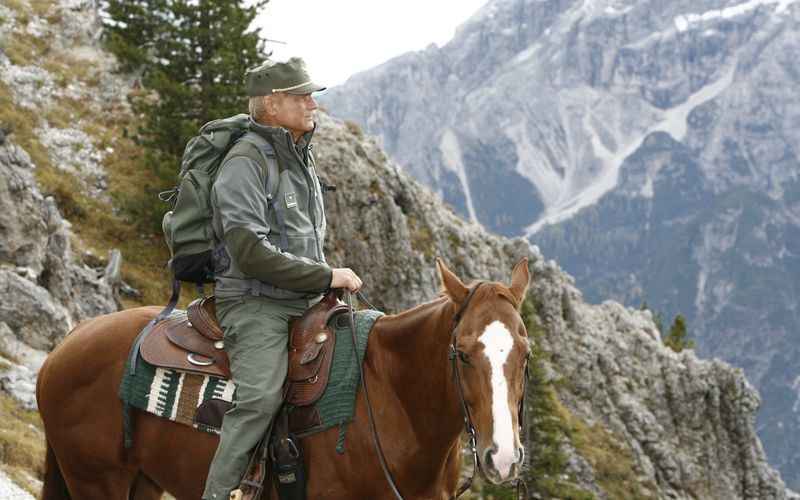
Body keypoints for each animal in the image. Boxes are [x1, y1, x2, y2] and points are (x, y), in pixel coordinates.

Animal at [36, 260, 532, 498]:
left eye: (526, 356)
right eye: (462, 355)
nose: (503, 458)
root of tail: (70, 339)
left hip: (143, 481)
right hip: (97, 481)